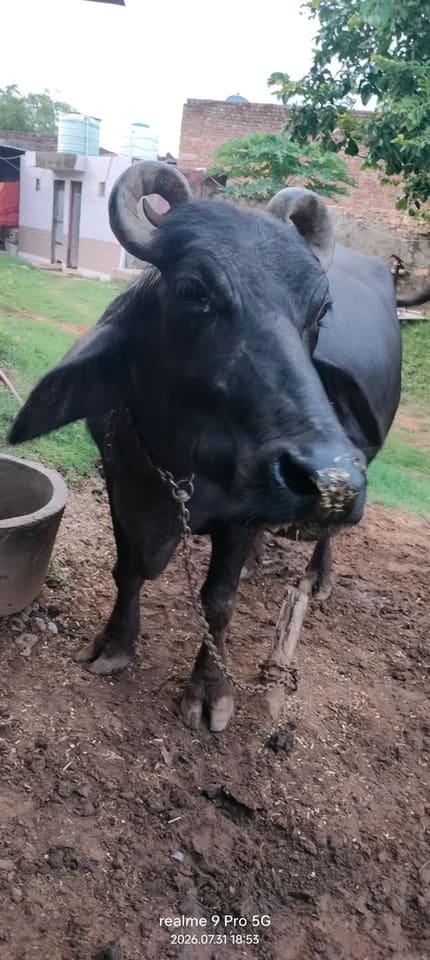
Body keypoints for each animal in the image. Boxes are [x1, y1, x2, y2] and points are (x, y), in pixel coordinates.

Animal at [9, 161, 402, 732]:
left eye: (321, 311)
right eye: (194, 290)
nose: (331, 481)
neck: (182, 460)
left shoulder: (239, 517)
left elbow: (219, 601)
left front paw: (210, 689)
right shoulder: (119, 479)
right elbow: (128, 568)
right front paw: (115, 642)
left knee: (324, 540)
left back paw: (318, 575)